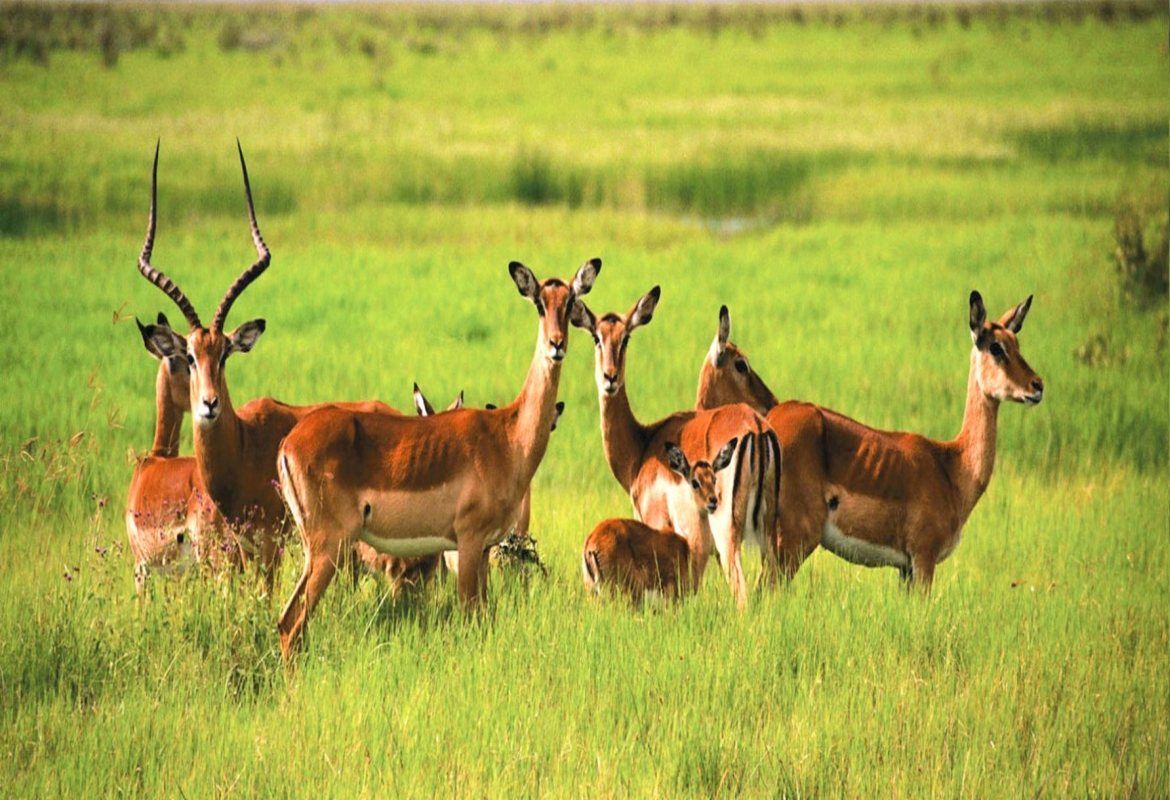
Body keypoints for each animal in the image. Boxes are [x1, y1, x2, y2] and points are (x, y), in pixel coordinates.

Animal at [135, 142, 393, 592]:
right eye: (189, 356)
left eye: (225, 353)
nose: (209, 404)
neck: (242, 448)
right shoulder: (242, 546)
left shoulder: (271, 544)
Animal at [275, 259, 600, 658]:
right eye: (540, 302)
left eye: (570, 302)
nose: (557, 345)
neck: (507, 435)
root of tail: (289, 442)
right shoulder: (469, 542)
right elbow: (471, 616)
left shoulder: (485, 547)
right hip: (328, 546)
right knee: (291, 623)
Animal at [695, 294, 1044, 588]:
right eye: (996, 347)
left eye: (1017, 342)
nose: (1037, 385)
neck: (953, 466)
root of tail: (762, 426)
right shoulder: (923, 560)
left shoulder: (905, 568)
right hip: (791, 544)